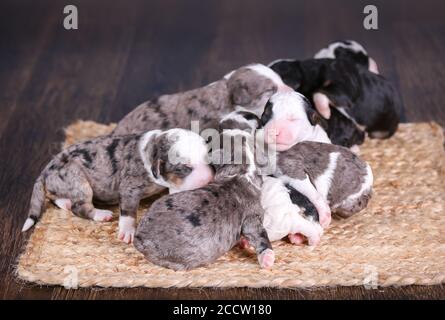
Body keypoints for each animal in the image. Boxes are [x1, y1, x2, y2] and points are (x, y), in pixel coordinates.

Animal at [21, 127, 212, 242]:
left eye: (207, 157)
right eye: (184, 167)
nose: (209, 177)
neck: (152, 149)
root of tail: (45, 171)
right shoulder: (129, 188)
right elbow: (128, 212)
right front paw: (127, 231)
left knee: (56, 199)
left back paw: (65, 203)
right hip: (77, 180)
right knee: (79, 207)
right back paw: (100, 214)